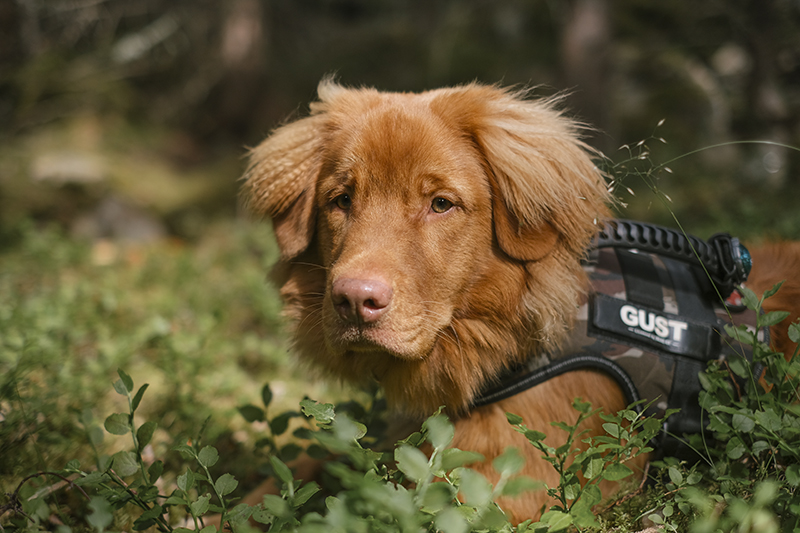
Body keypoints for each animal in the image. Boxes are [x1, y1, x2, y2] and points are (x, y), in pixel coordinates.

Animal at [241, 81, 800, 520]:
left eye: (440, 204)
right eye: (341, 200)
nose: (355, 300)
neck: (500, 329)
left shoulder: (503, 484)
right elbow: (313, 461)